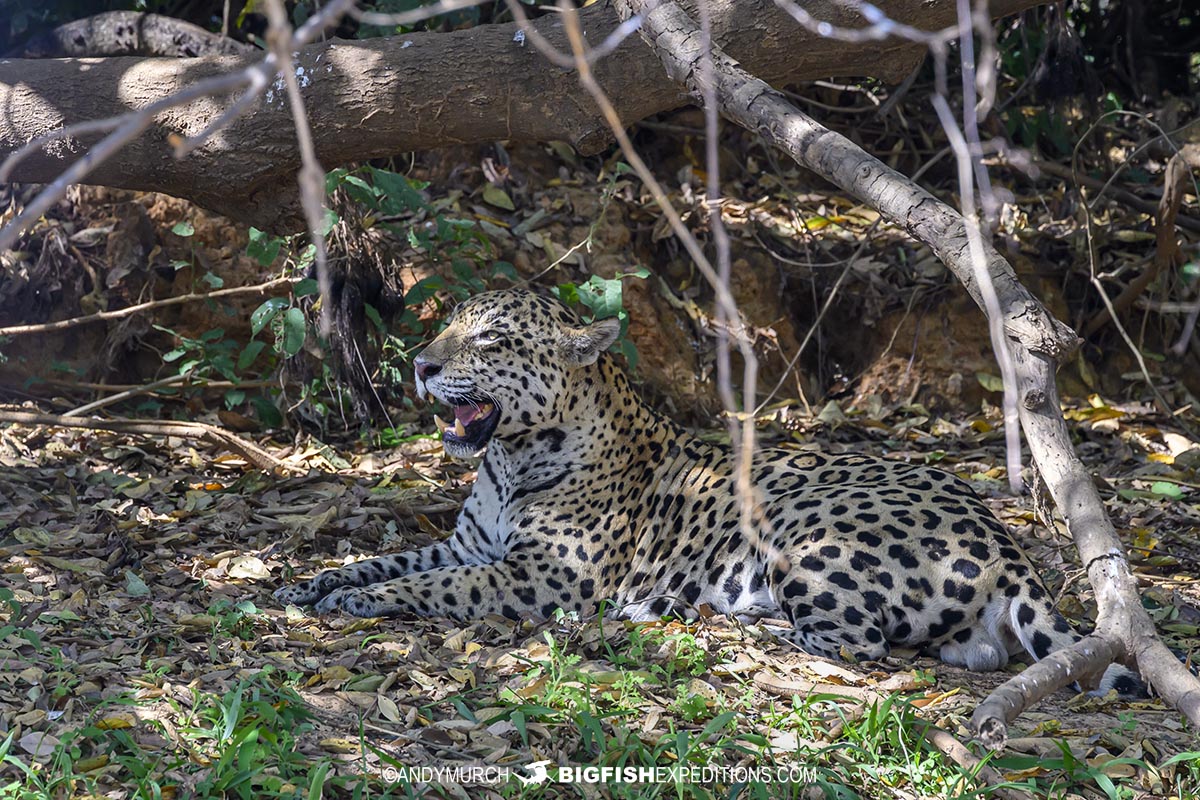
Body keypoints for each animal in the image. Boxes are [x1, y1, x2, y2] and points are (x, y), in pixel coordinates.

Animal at [275, 288, 1143, 695]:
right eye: (451, 324)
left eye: (489, 340)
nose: (421, 364)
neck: (509, 461)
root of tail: (1005, 541)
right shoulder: (469, 544)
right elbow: (390, 562)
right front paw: (311, 584)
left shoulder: (541, 578)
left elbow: (434, 588)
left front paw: (353, 604)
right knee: (959, 648)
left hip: (805, 526)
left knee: (854, 643)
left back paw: (729, 620)